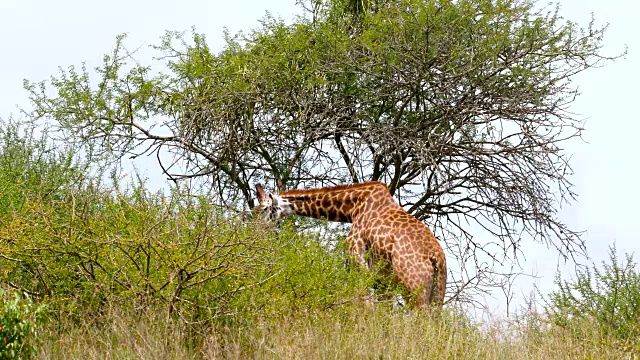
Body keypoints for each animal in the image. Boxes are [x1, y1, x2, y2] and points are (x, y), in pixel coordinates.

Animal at [254, 181, 444, 308]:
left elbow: (363, 299)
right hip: (437, 293)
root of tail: (437, 257)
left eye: (264, 209)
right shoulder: (382, 276)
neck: (352, 207)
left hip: (413, 287)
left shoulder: (354, 254)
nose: (255, 233)